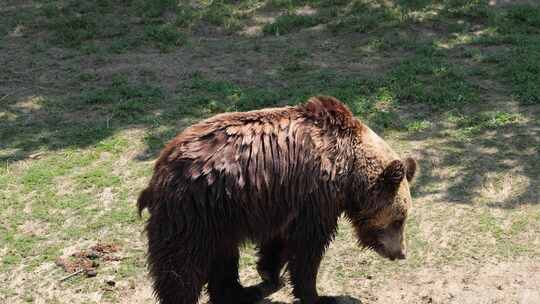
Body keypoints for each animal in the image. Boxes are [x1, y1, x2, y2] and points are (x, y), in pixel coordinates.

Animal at [137, 97, 416, 304]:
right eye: (399, 219)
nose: (401, 252)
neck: (347, 169)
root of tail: (161, 167)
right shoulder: (316, 197)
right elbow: (307, 248)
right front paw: (318, 295)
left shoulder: (286, 201)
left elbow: (280, 240)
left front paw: (270, 272)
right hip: (194, 211)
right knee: (181, 267)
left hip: (220, 217)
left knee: (222, 256)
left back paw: (243, 292)